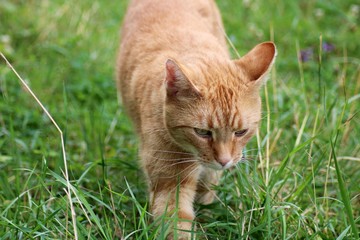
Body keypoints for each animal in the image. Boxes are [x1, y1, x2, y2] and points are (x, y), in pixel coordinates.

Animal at [116, 0, 278, 238]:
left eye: (241, 132)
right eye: (202, 132)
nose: (224, 161)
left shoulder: (212, 172)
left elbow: (207, 191)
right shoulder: (170, 186)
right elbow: (178, 224)